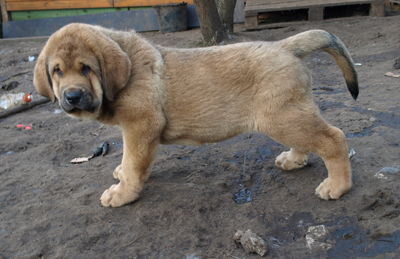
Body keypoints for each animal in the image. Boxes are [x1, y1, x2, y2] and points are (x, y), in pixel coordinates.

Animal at [33, 23, 360, 208]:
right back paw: (294, 159)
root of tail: (284, 46)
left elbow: (134, 163)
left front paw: (122, 193)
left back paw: (337, 186)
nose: (72, 97)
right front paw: (122, 173)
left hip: (280, 117)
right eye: (57, 71)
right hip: (289, 113)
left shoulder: (141, 126)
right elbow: (133, 160)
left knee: (334, 139)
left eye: (86, 68)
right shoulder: (137, 131)